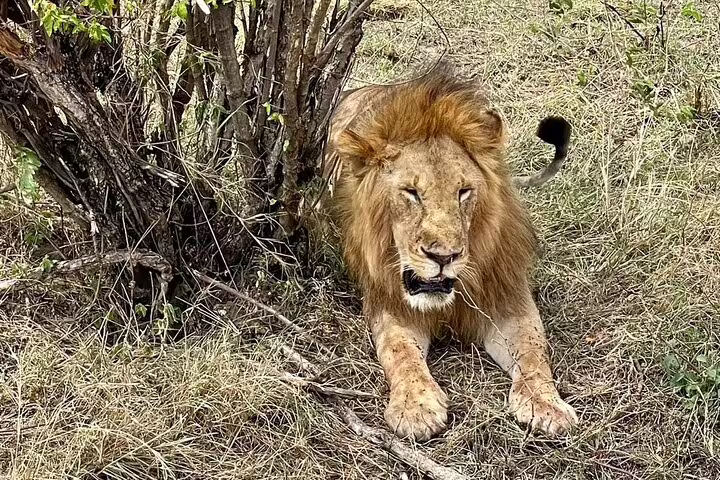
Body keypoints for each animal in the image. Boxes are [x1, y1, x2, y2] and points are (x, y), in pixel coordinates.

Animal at [321, 64, 578, 441]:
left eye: (464, 191)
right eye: (411, 192)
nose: (443, 257)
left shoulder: (508, 300)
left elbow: (534, 350)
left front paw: (547, 404)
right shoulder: (390, 305)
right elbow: (400, 353)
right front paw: (415, 408)